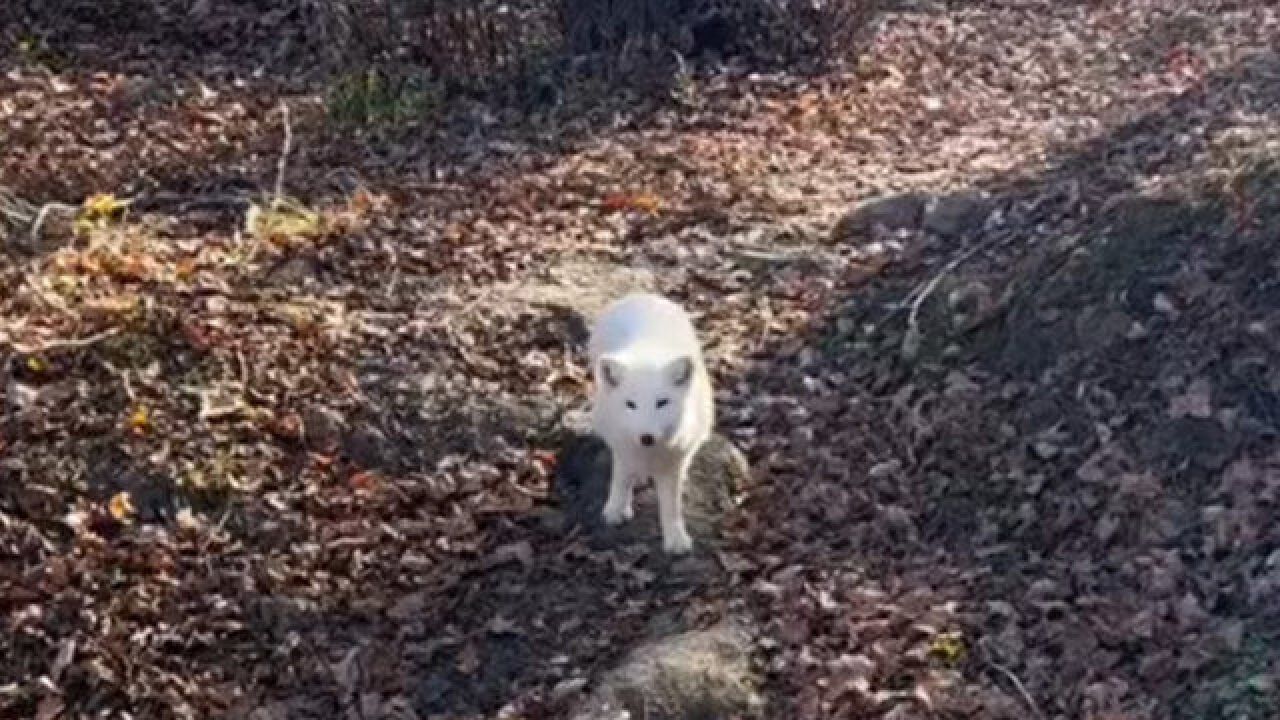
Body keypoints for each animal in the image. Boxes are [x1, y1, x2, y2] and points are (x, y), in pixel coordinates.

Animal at [586, 292, 716, 556]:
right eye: (630, 404)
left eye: (662, 402)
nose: (646, 437)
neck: (649, 454)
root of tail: (641, 295)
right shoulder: (623, 447)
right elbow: (621, 478)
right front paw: (615, 509)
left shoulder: (672, 464)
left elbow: (671, 506)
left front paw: (676, 539)